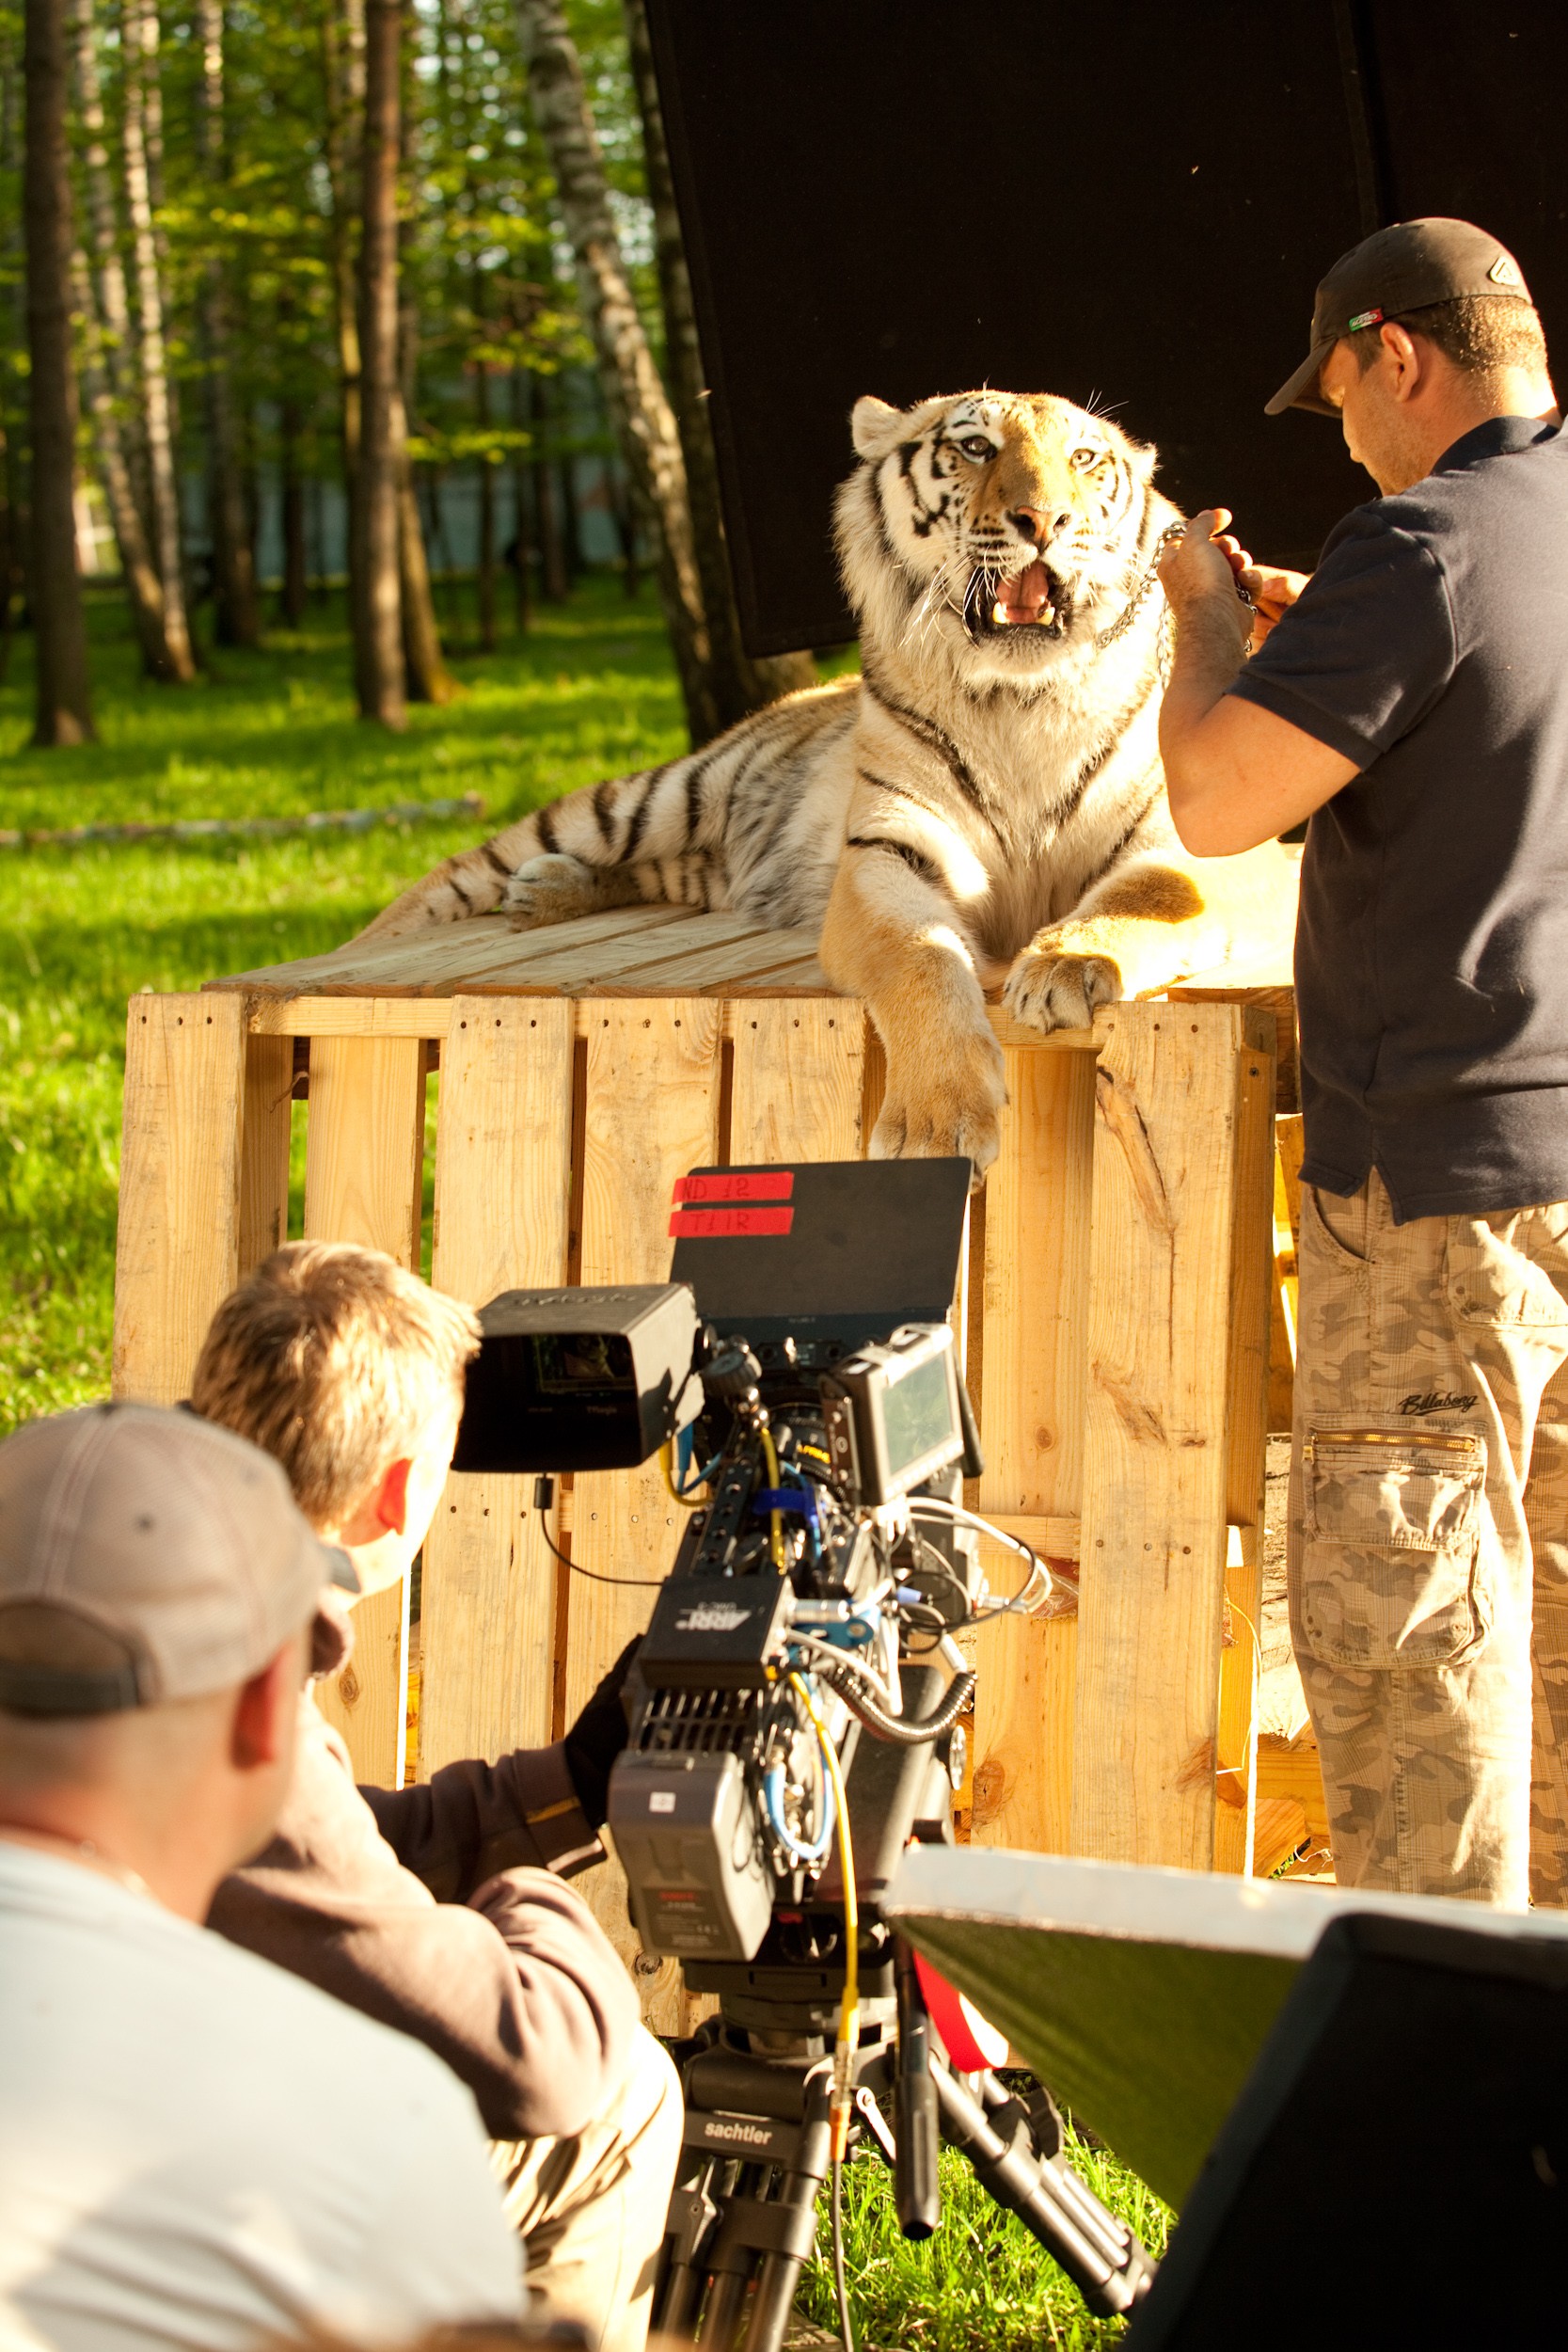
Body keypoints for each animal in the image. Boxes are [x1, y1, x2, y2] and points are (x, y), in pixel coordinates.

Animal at [361, 383, 1307, 1176]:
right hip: (642, 800)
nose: (1046, 520)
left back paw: (547, 892)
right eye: (972, 446)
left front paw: (1068, 964)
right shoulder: (888, 856)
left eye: (1084, 458)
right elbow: (920, 960)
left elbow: (1142, 895)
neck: (1017, 700)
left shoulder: (1205, 842)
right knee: (441, 886)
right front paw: (934, 1125)